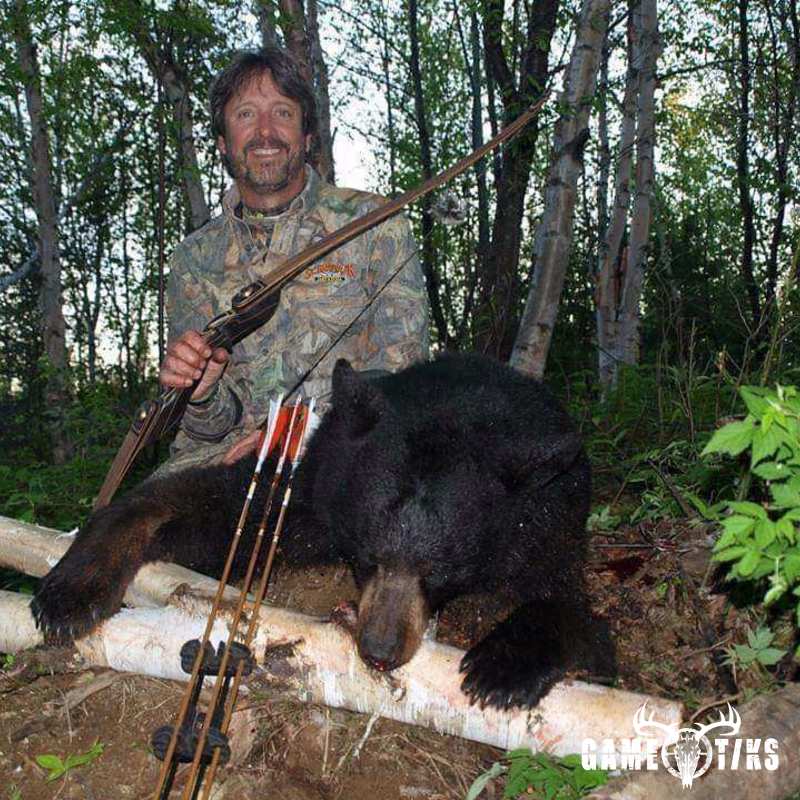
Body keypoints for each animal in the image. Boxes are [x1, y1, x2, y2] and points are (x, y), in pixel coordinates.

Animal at [31, 353, 613, 709]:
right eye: (367, 556)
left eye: (441, 571)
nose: (379, 649)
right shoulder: (322, 488)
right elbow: (219, 509)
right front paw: (69, 592)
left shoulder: (544, 522)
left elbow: (569, 605)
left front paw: (499, 668)